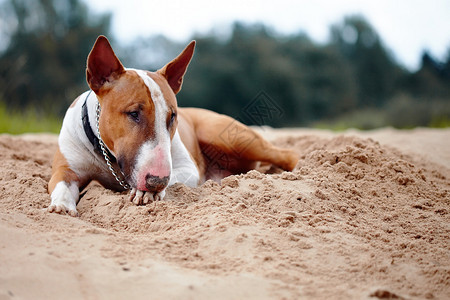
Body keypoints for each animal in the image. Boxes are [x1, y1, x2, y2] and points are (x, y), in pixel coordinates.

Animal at [47, 36, 298, 216]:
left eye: (172, 117)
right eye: (133, 113)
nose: (156, 182)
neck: (108, 156)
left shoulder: (188, 168)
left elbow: (176, 176)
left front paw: (146, 193)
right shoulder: (66, 168)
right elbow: (61, 182)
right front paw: (62, 205)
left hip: (225, 135)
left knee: (287, 155)